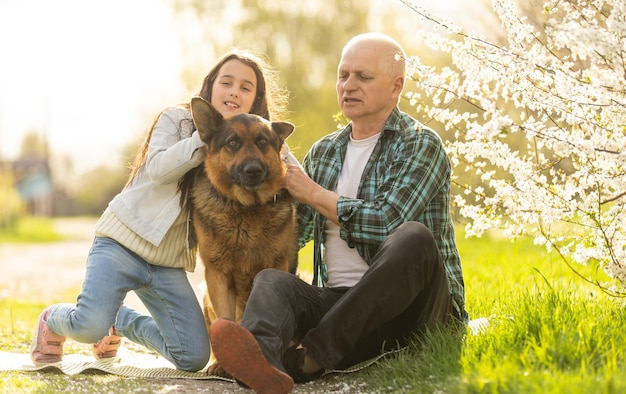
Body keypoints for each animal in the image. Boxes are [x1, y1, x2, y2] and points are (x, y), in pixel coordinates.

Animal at [186, 97, 296, 374]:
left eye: (262, 142)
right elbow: (227, 319)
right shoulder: (218, 275)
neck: (246, 207)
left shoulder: (274, 267)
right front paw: (227, 360)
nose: (253, 170)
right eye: (233, 143)